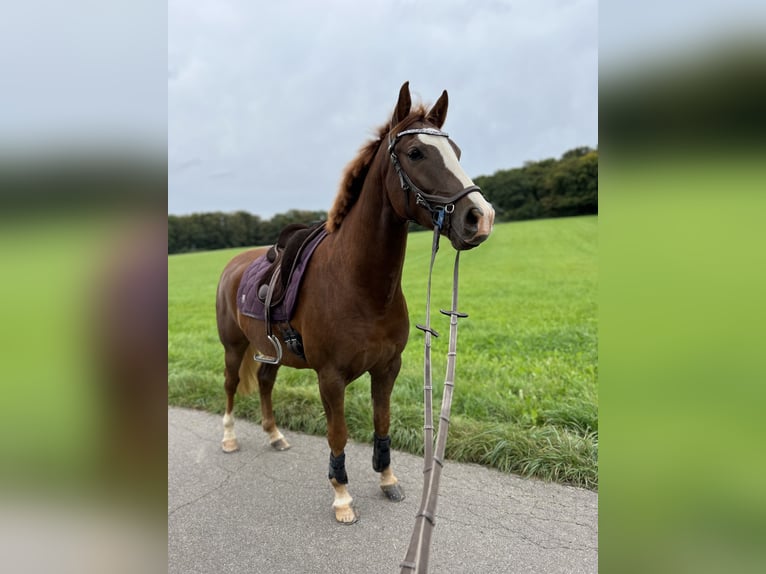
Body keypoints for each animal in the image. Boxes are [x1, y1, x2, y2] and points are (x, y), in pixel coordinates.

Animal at [215, 82, 495, 524]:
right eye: (416, 153)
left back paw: (275, 435)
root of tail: (233, 266)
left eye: (457, 152)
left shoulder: (387, 368)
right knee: (229, 385)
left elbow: (382, 423)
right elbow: (338, 433)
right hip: (233, 346)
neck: (362, 288)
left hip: (267, 350)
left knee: (264, 382)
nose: (480, 216)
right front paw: (342, 495)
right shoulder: (330, 378)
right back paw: (228, 438)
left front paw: (387, 479)